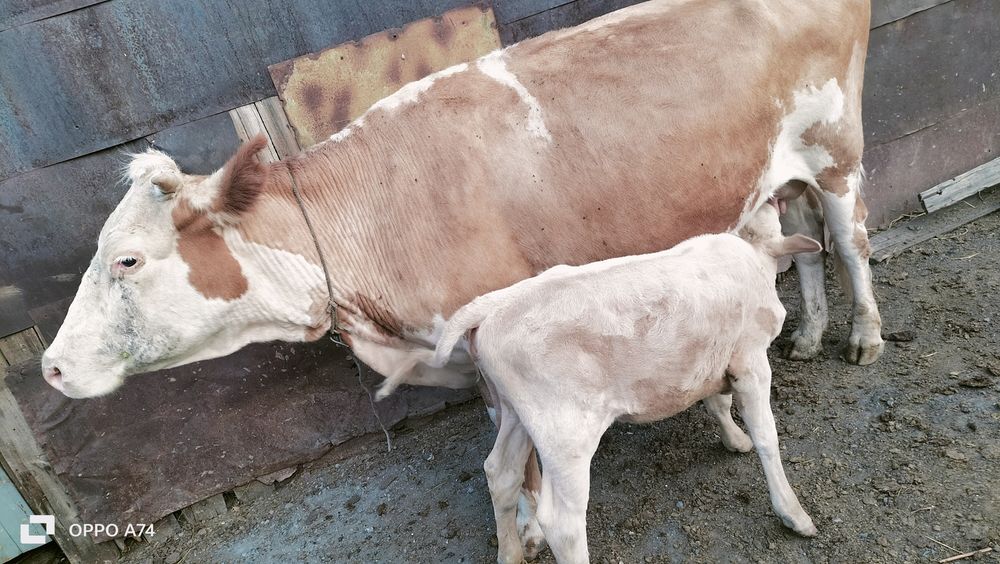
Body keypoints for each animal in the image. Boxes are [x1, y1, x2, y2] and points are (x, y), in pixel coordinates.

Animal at [426, 202, 820, 563]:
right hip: (566, 431)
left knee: (501, 474)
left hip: (516, 412)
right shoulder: (750, 359)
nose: (777, 201)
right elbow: (767, 436)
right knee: (562, 522)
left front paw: (735, 439)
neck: (752, 255)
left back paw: (509, 554)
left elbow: (717, 402)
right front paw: (793, 513)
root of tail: (492, 306)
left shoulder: (710, 359)